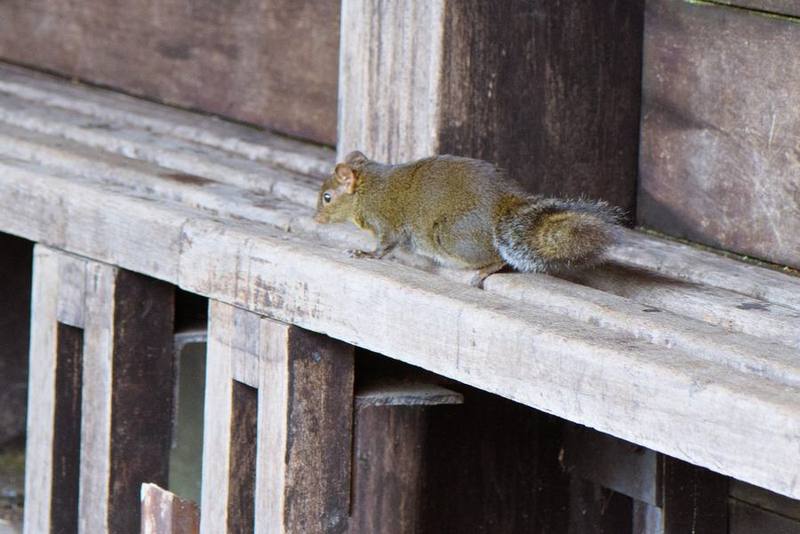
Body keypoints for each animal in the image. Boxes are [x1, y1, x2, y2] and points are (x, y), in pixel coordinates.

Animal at [314, 151, 622, 278]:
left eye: (327, 197)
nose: (316, 220)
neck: (368, 188)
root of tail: (503, 204)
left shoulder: (384, 220)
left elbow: (385, 246)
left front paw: (365, 254)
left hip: (452, 236)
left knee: (497, 257)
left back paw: (484, 270)